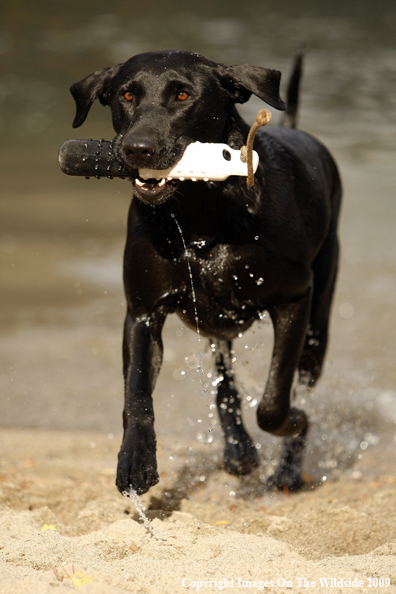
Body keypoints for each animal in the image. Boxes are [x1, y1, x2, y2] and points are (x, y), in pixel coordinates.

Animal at [70, 49, 340, 494]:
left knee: (301, 382)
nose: (137, 149)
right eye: (126, 95)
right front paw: (135, 460)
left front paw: (295, 423)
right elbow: (137, 394)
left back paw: (286, 470)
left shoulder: (295, 298)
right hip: (215, 325)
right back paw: (238, 448)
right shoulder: (143, 313)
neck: (199, 214)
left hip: (319, 319)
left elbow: (275, 401)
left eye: (182, 95)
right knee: (224, 384)